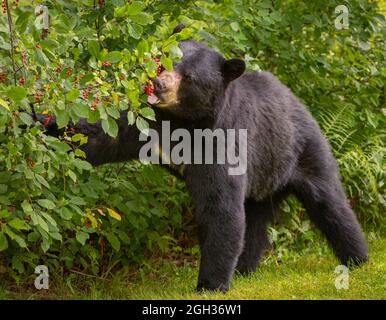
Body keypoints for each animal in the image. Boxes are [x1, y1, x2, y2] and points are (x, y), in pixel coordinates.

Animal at [38, 28, 368, 292]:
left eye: (190, 78)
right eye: (164, 59)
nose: (158, 85)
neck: (183, 122)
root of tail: (299, 103)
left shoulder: (221, 142)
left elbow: (220, 206)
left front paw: (209, 285)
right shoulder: (147, 122)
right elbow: (100, 137)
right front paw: (40, 120)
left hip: (305, 153)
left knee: (331, 205)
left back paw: (357, 259)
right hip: (262, 178)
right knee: (254, 221)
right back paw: (244, 270)